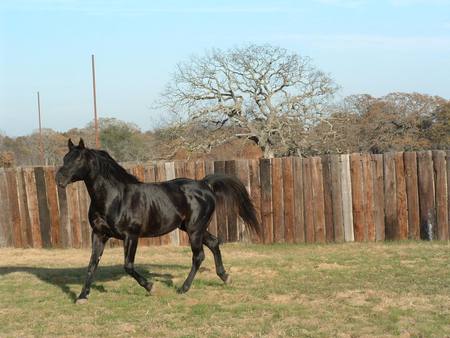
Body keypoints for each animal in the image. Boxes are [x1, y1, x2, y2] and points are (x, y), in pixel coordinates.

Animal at [55, 139, 260, 302]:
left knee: (198, 256)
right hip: (192, 228)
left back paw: (183, 288)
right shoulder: (99, 234)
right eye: (65, 158)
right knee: (214, 243)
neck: (115, 198)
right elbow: (92, 264)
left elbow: (128, 266)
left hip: (194, 230)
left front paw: (151, 287)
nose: (59, 179)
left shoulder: (131, 236)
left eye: (78, 159)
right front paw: (82, 296)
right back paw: (225, 277)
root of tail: (205, 184)